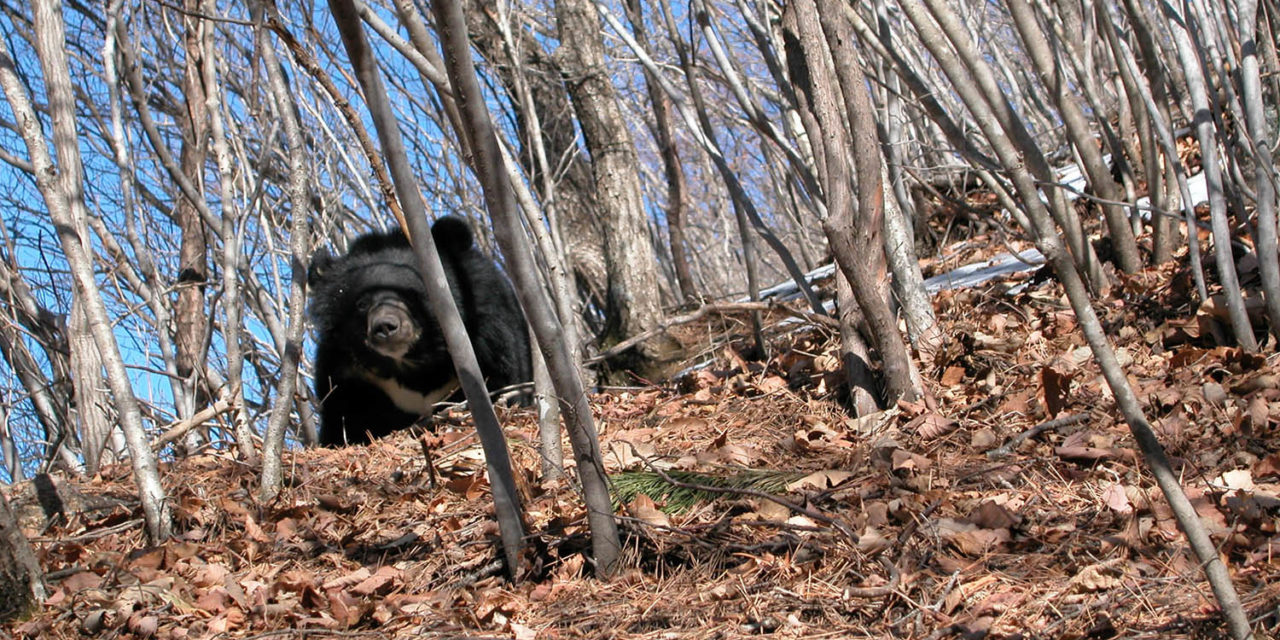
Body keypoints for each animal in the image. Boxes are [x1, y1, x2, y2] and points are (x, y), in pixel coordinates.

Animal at [307, 215, 532, 445]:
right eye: (361, 304)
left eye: (411, 294)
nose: (385, 327)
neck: (412, 364)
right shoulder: (345, 371)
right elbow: (342, 416)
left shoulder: (490, 333)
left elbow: (504, 378)